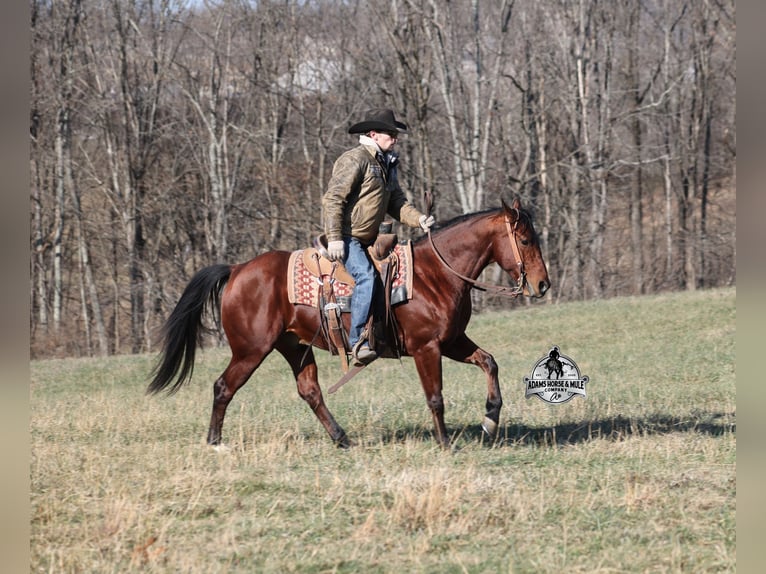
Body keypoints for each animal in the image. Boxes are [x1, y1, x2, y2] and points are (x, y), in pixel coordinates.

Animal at [147, 198, 550, 448]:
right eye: (525, 238)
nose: (542, 284)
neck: (434, 275)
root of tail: (237, 269)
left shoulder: (451, 341)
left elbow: (489, 362)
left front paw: (490, 419)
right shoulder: (427, 348)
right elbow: (435, 397)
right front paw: (445, 442)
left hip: (293, 347)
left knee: (310, 391)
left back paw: (341, 438)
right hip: (250, 350)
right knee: (223, 387)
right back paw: (215, 442)